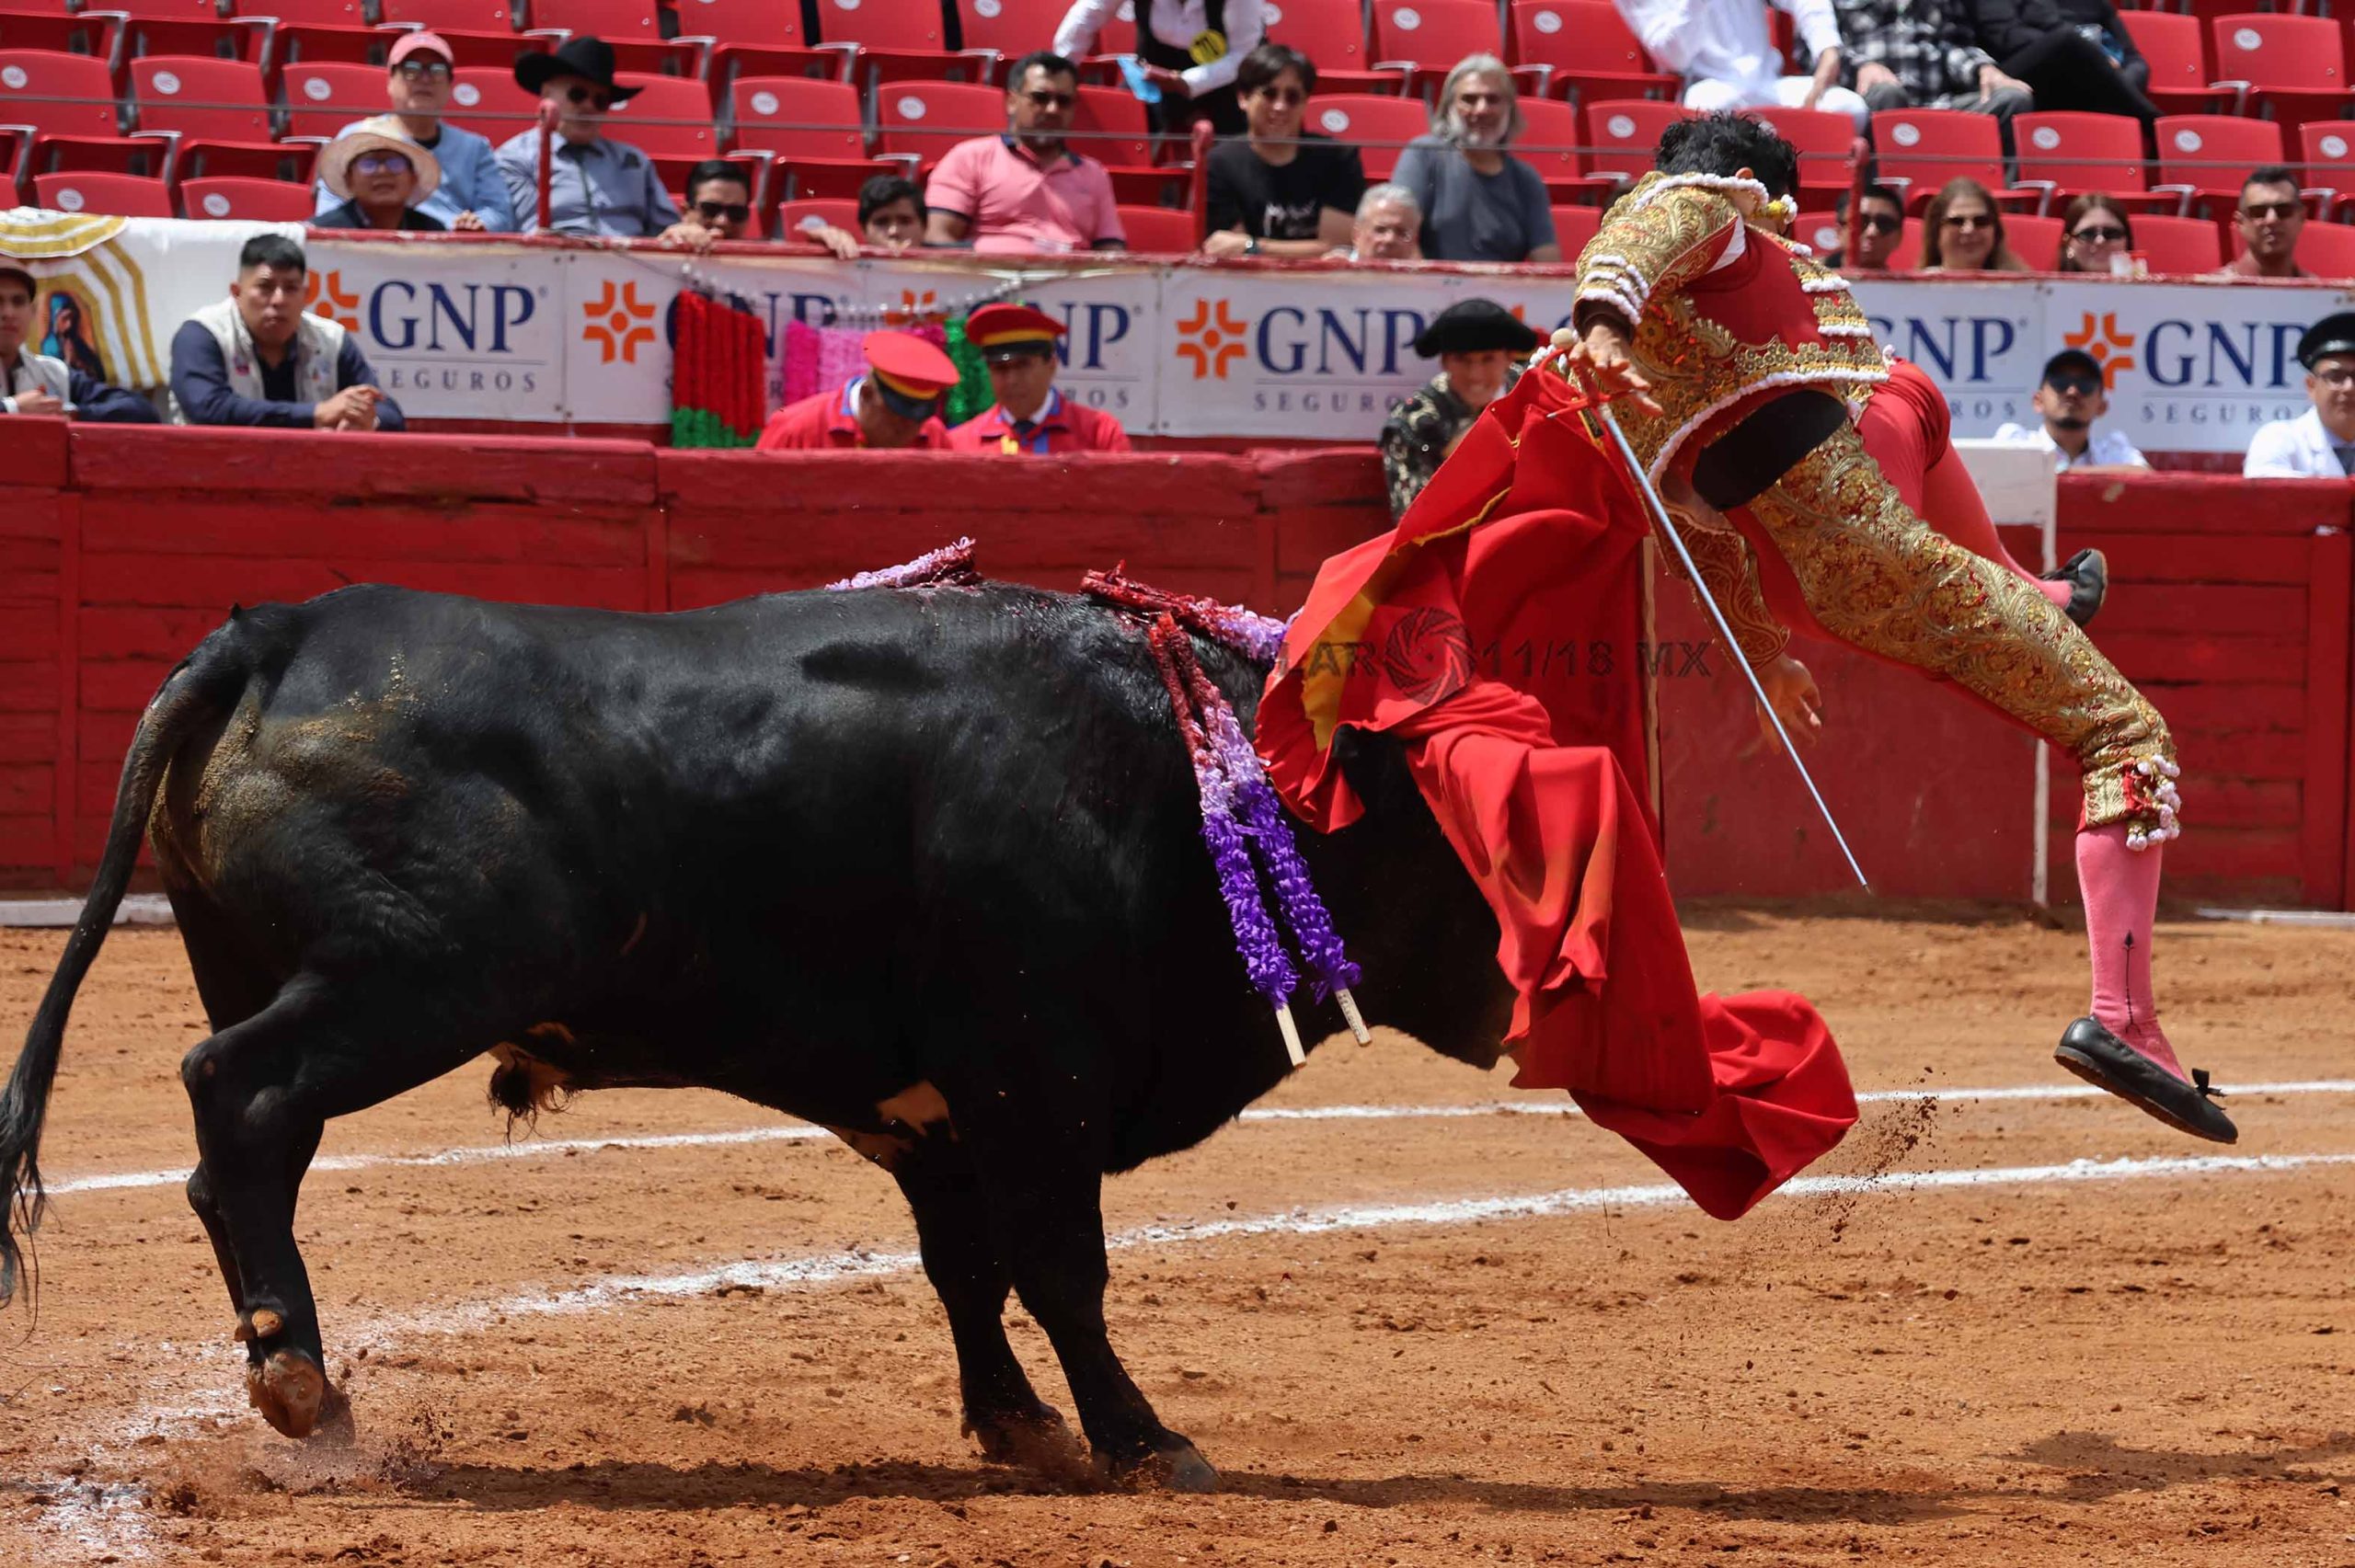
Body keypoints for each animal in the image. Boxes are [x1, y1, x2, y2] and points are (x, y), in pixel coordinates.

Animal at [0, 578, 1507, 1487]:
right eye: (1455, 820)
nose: (1522, 993)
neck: (1161, 770)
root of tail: (276, 629)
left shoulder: (943, 1114)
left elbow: (967, 1271)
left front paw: (1016, 1426)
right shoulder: (1035, 1080)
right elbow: (1061, 1271)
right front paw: (1142, 1441)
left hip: (275, 969)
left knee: (249, 1150)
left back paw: (304, 1380)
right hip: (406, 982)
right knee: (238, 1097)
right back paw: (302, 1383)